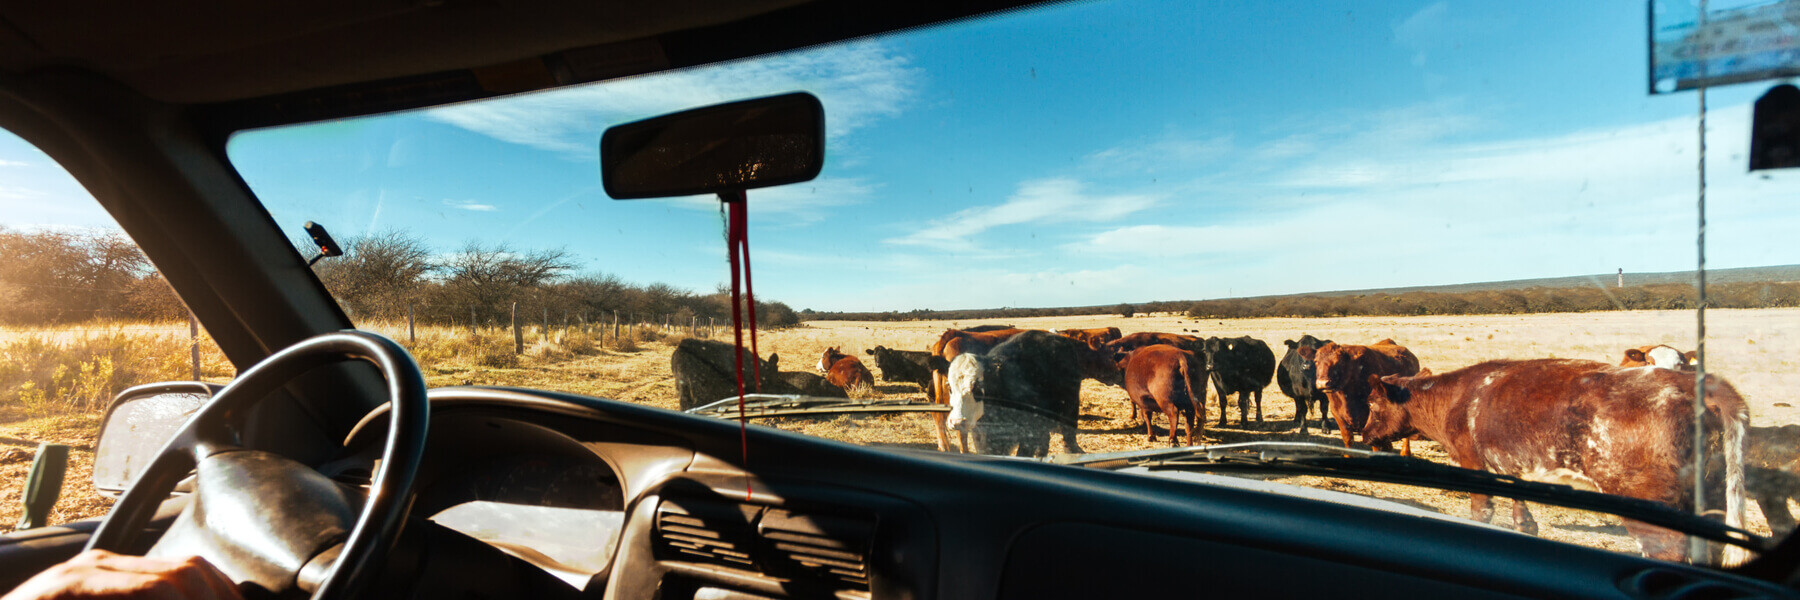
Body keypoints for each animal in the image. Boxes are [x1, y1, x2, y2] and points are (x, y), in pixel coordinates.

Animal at [1360, 360, 1742, 562]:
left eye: (1373, 404)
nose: (1365, 435)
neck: (1456, 399)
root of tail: (1689, 383)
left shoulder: (1473, 462)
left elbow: (1482, 511)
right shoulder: (1516, 468)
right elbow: (1522, 515)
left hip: (1645, 496)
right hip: (1711, 495)